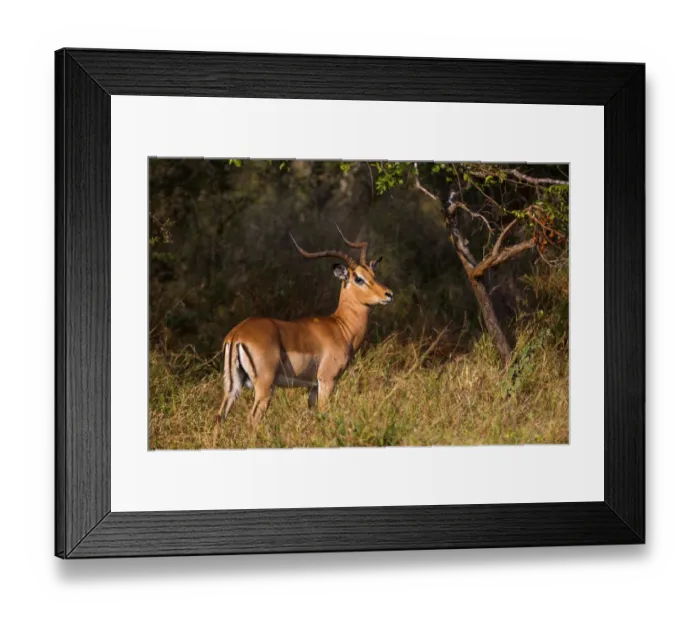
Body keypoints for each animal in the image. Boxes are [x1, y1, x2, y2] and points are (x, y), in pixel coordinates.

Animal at [215, 227, 394, 427]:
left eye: (373, 274)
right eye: (358, 278)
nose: (388, 294)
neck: (341, 327)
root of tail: (237, 334)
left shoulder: (313, 387)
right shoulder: (327, 380)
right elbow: (325, 412)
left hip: (232, 387)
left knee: (219, 416)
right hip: (265, 387)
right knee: (252, 419)